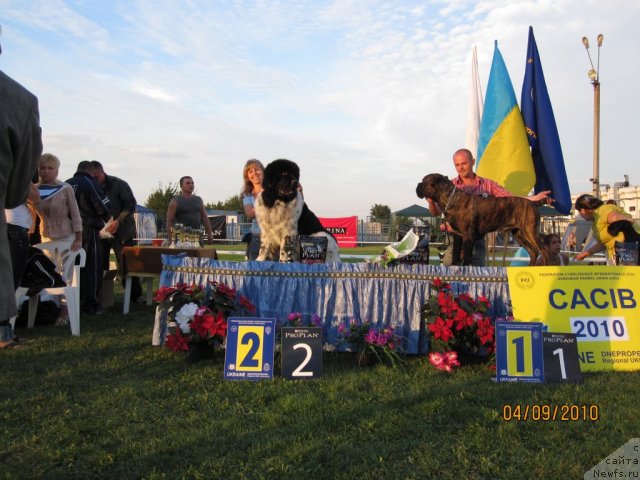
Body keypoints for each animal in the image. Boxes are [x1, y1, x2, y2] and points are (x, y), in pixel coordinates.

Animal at [418, 174, 548, 266]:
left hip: (530, 231)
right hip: (519, 234)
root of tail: (532, 203)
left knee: (543, 251)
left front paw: (465, 267)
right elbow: (456, 252)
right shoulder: (458, 235)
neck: (451, 198)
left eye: (424, 181)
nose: (418, 185)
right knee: (533, 252)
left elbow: (467, 255)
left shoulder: (468, 235)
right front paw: (455, 266)